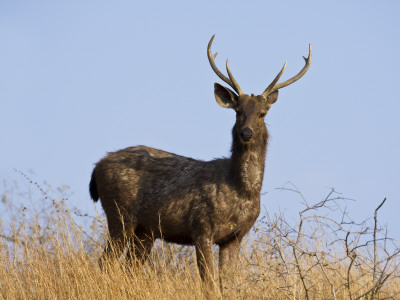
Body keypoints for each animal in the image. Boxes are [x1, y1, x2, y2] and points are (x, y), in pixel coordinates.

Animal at [89, 34, 310, 286]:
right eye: (238, 112)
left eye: (263, 113)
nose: (246, 133)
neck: (240, 190)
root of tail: (97, 167)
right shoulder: (201, 227)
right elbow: (209, 282)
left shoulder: (235, 236)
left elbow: (227, 284)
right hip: (120, 214)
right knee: (105, 262)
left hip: (145, 230)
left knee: (129, 266)